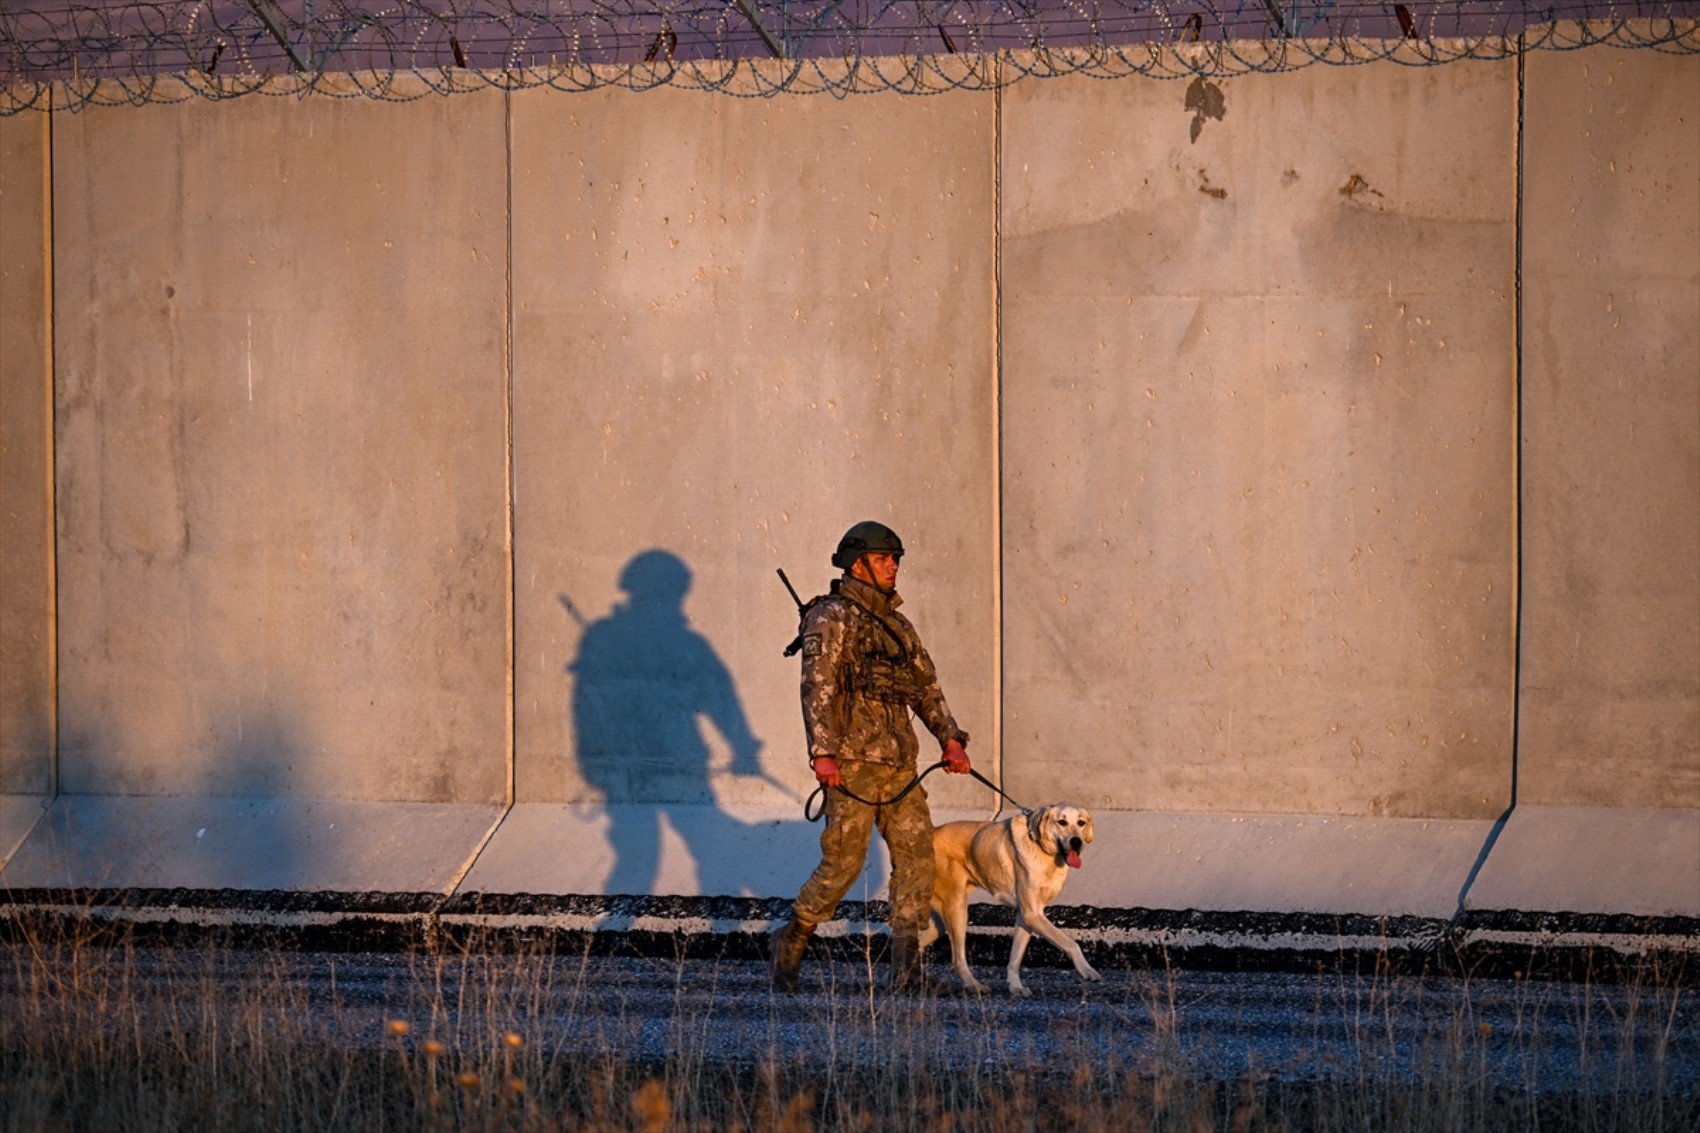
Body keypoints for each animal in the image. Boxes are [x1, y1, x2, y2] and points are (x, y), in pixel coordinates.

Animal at [918, 799, 1101, 993]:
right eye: (1062, 822)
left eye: (1081, 823)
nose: (1076, 842)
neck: (1041, 849)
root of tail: (933, 832)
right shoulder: (1032, 914)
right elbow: (1071, 943)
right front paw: (1086, 969)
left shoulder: (1025, 916)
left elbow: (1015, 957)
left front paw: (1015, 987)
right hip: (957, 909)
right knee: (957, 960)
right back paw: (974, 986)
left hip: (940, 922)